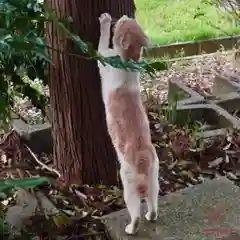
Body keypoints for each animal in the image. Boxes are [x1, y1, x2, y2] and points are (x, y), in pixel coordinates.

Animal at [96, 12, 160, 234]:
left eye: (123, 23)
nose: (122, 15)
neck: (130, 62)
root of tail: (143, 156)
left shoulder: (104, 57)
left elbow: (102, 42)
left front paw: (105, 22)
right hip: (155, 180)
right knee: (153, 205)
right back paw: (151, 216)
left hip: (129, 185)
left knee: (136, 213)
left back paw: (131, 228)